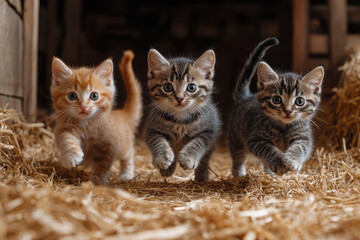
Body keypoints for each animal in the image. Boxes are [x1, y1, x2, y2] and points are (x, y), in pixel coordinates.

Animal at [51, 51, 141, 184]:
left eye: (94, 96)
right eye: (72, 96)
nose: (83, 106)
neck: (86, 125)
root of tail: (123, 113)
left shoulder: (109, 146)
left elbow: (102, 166)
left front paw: (96, 182)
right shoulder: (64, 128)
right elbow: (66, 139)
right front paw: (72, 156)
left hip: (124, 145)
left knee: (129, 155)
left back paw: (126, 174)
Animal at [145, 49, 221, 183]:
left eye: (191, 87)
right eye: (168, 87)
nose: (179, 98)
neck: (180, 119)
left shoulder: (209, 131)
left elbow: (198, 143)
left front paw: (188, 158)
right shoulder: (151, 128)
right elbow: (157, 141)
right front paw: (163, 157)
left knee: (205, 159)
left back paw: (201, 176)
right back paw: (167, 169)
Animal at [229, 38, 324, 176]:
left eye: (300, 101)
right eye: (277, 99)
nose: (288, 111)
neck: (283, 127)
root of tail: (245, 97)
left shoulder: (304, 137)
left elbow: (300, 147)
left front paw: (292, 160)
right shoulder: (255, 139)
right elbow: (268, 149)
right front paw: (278, 162)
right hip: (236, 140)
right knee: (237, 158)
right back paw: (239, 174)